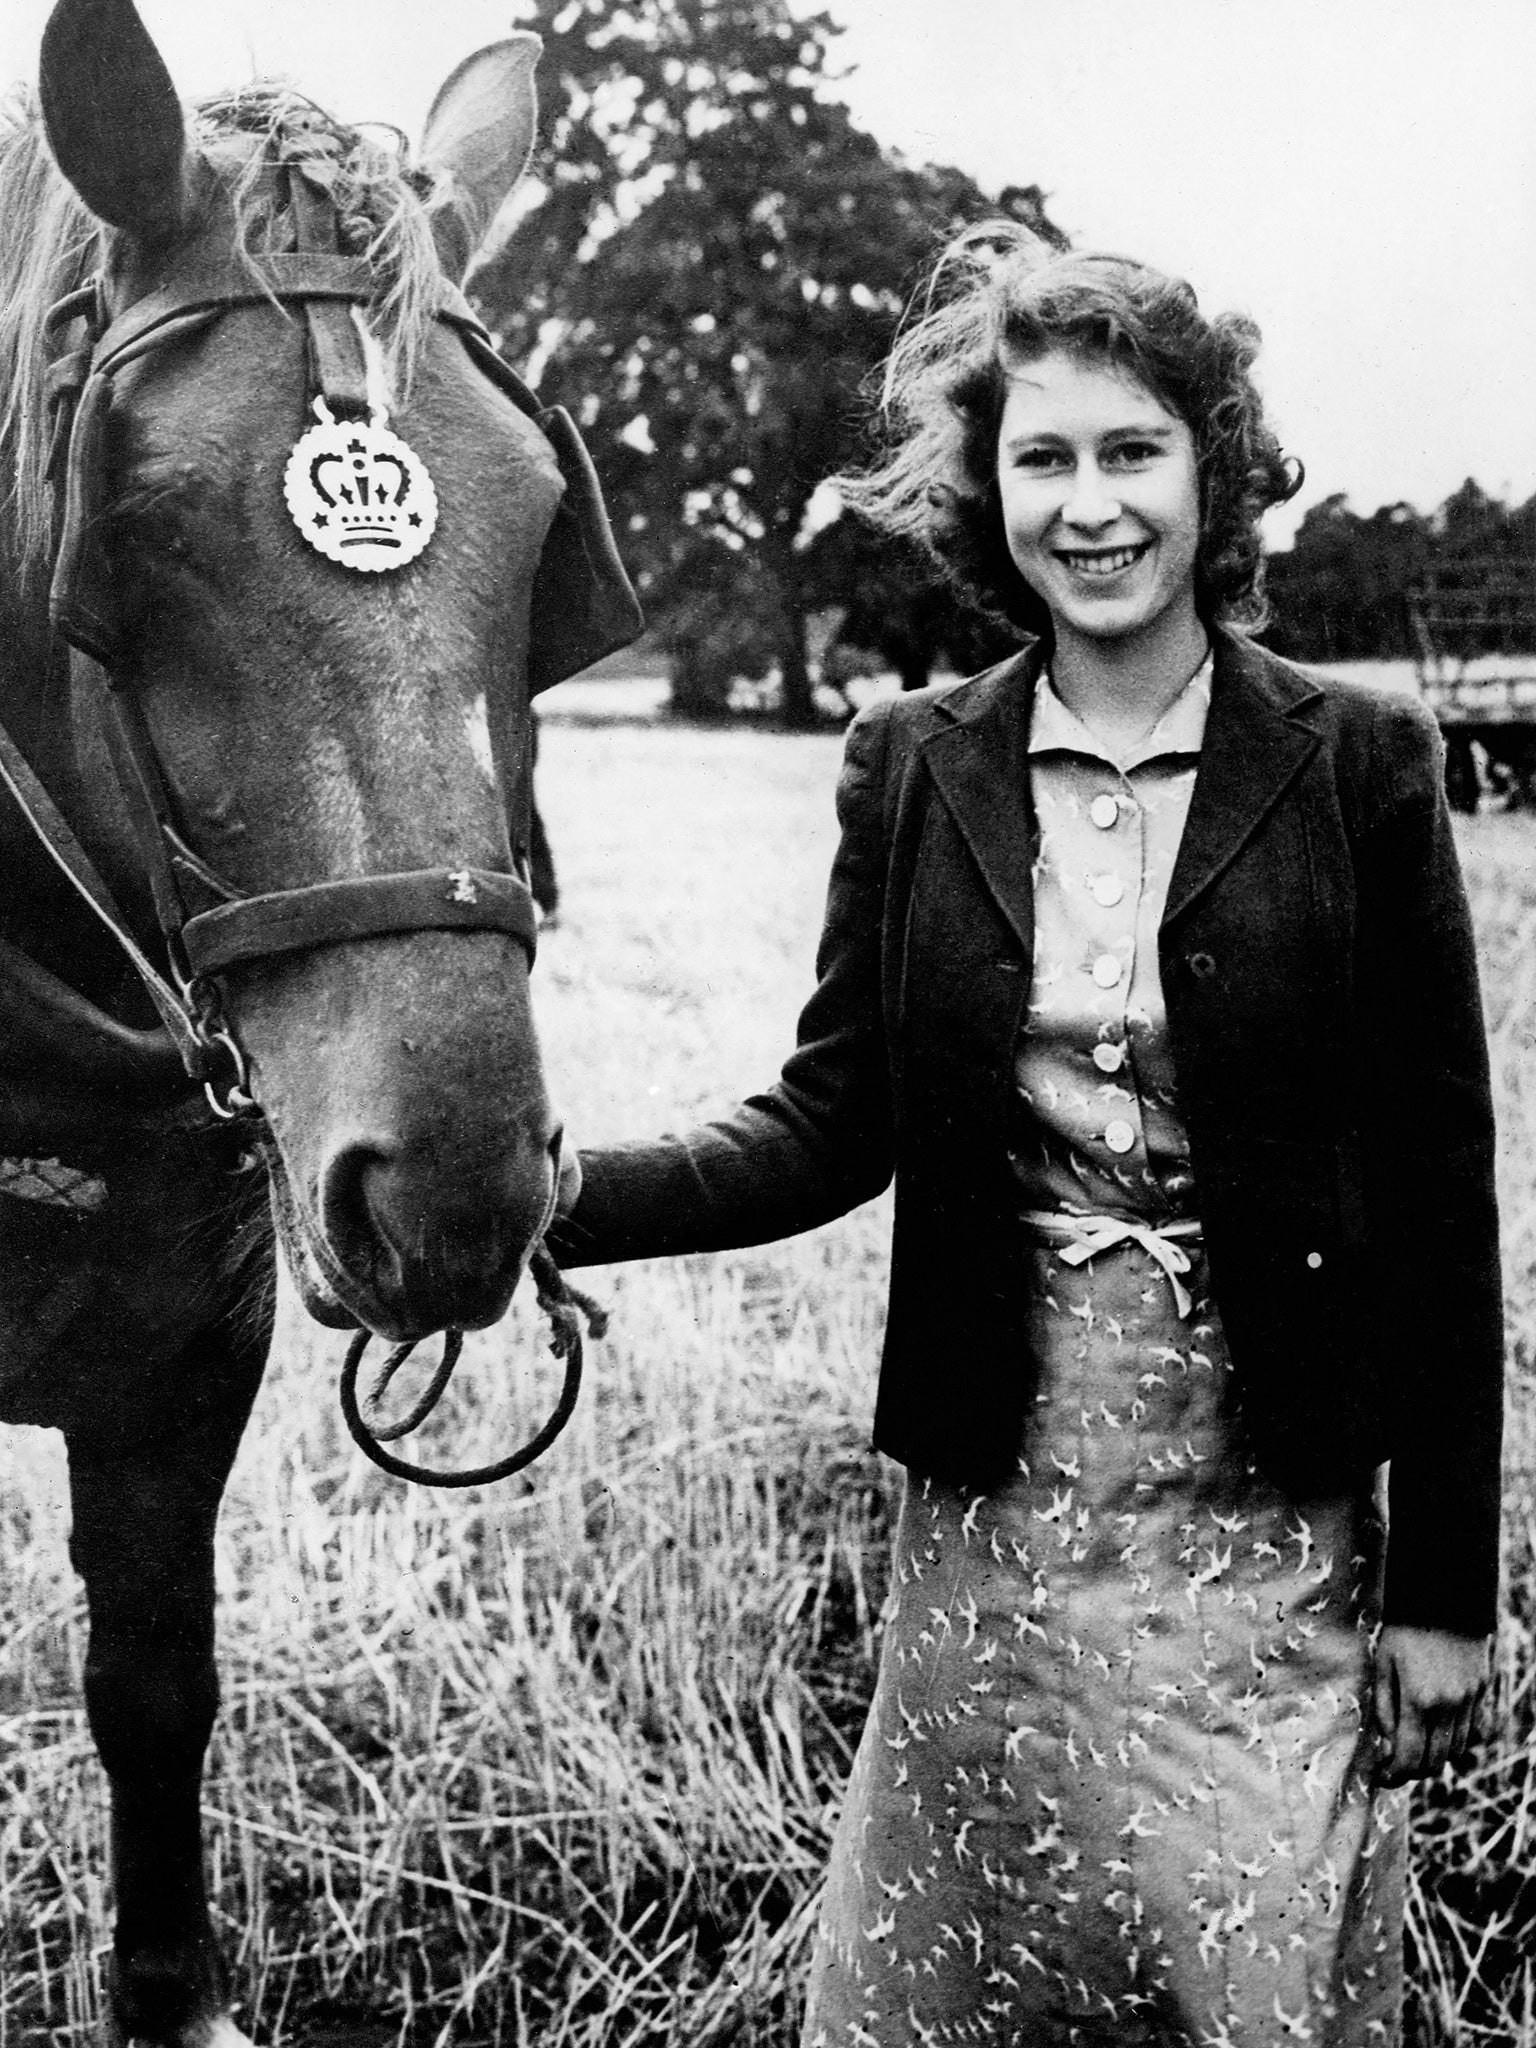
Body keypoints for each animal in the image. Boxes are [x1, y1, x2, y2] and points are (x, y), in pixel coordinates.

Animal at [0, 8, 638, 2039]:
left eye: (542, 526)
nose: (450, 1193)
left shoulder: (189, 1351)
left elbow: (155, 1681)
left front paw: (173, 1987)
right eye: (133, 529)